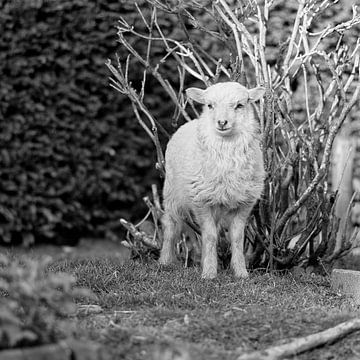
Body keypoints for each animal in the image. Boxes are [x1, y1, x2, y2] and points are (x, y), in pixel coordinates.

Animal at [159, 81, 266, 278]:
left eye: (240, 105)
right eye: (210, 105)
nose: (222, 122)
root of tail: (190, 122)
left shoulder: (244, 203)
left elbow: (236, 238)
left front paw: (240, 272)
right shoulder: (201, 200)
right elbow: (209, 236)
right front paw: (209, 273)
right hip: (171, 191)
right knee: (171, 224)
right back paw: (164, 261)